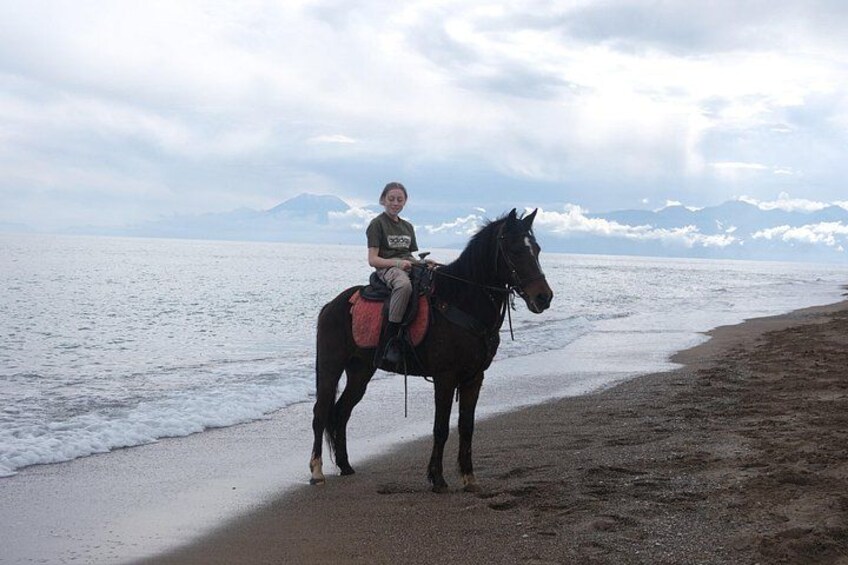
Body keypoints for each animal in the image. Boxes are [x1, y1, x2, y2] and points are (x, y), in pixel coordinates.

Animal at [309, 208, 554, 492]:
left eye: (536, 249)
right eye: (514, 250)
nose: (543, 297)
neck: (462, 300)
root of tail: (331, 305)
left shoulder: (474, 377)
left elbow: (466, 426)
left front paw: (469, 477)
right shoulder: (445, 377)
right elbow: (441, 428)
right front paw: (437, 478)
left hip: (361, 371)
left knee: (342, 412)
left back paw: (346, 465)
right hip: (331, 366)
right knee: (321, 412)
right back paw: (317, 471)